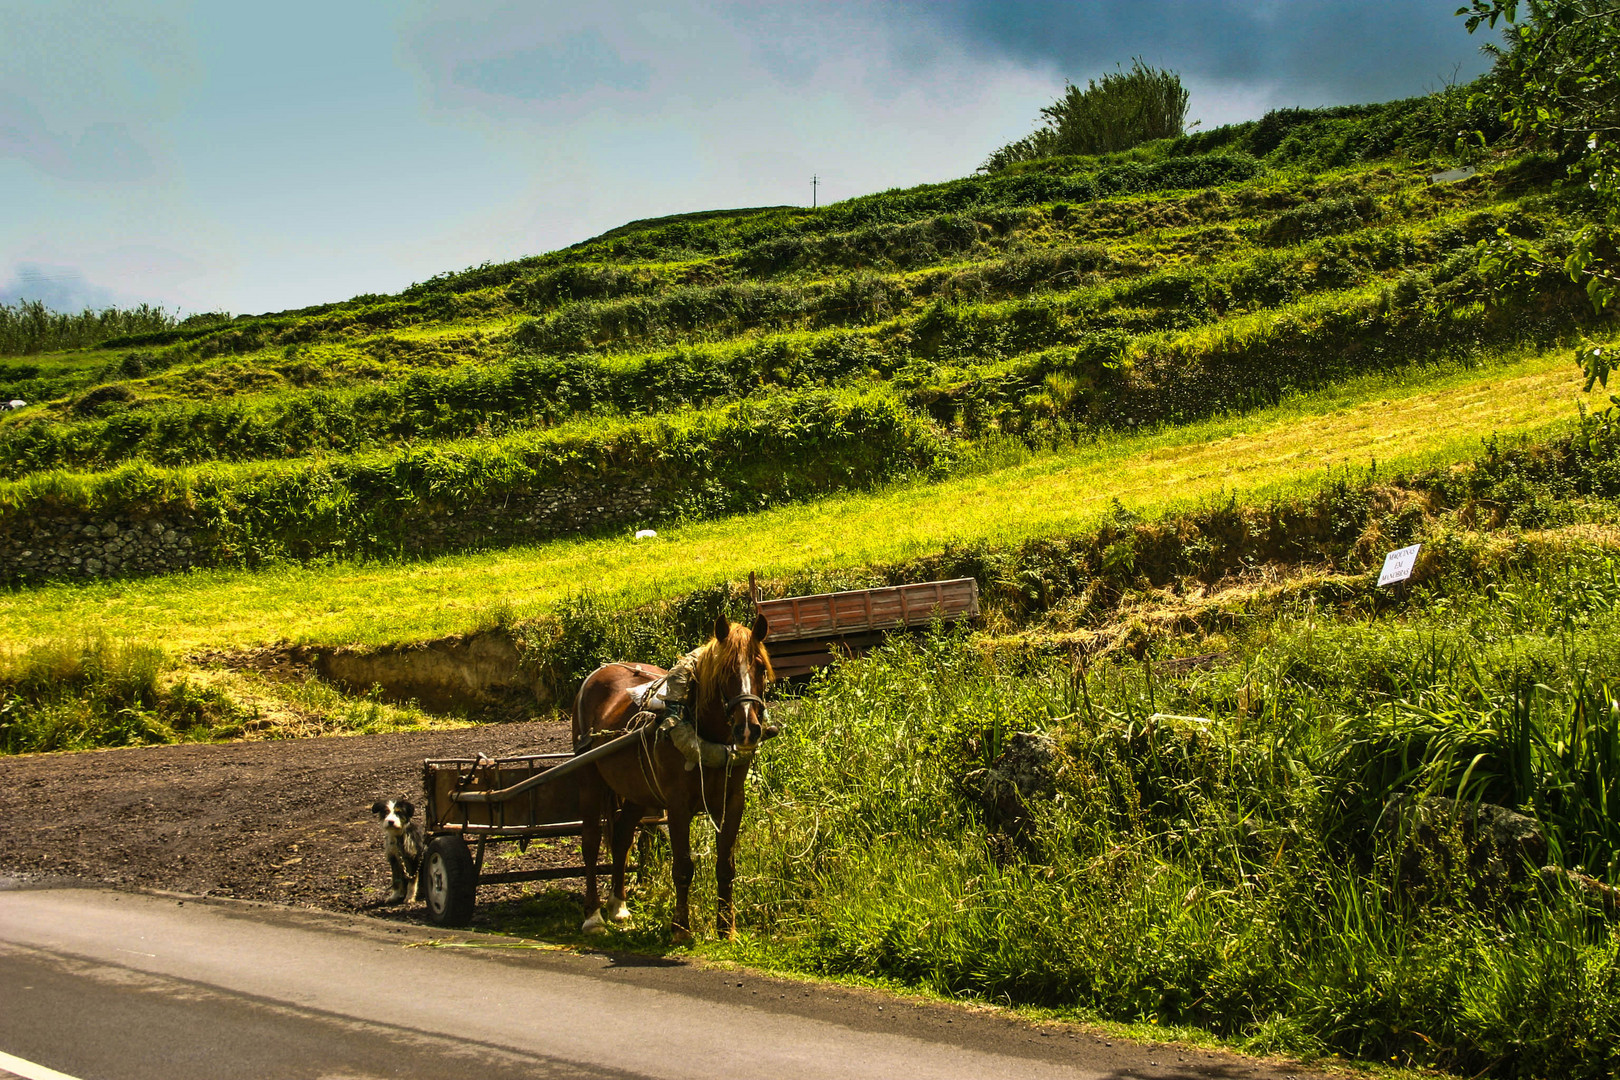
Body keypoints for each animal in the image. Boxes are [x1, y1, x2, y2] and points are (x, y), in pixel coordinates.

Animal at [570, 615, 771, 939]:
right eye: (725, 671)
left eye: (761, 667)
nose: (747, 730)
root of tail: (602, 670)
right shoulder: (677, 806)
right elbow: (683, 867)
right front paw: (680, 928)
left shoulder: (732, 803)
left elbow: (726, 865)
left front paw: (726, 928)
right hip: (589, 780)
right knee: (590, 842)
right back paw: (593, 916)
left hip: (638, 791)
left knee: (622, 837)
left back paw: (618, 906)